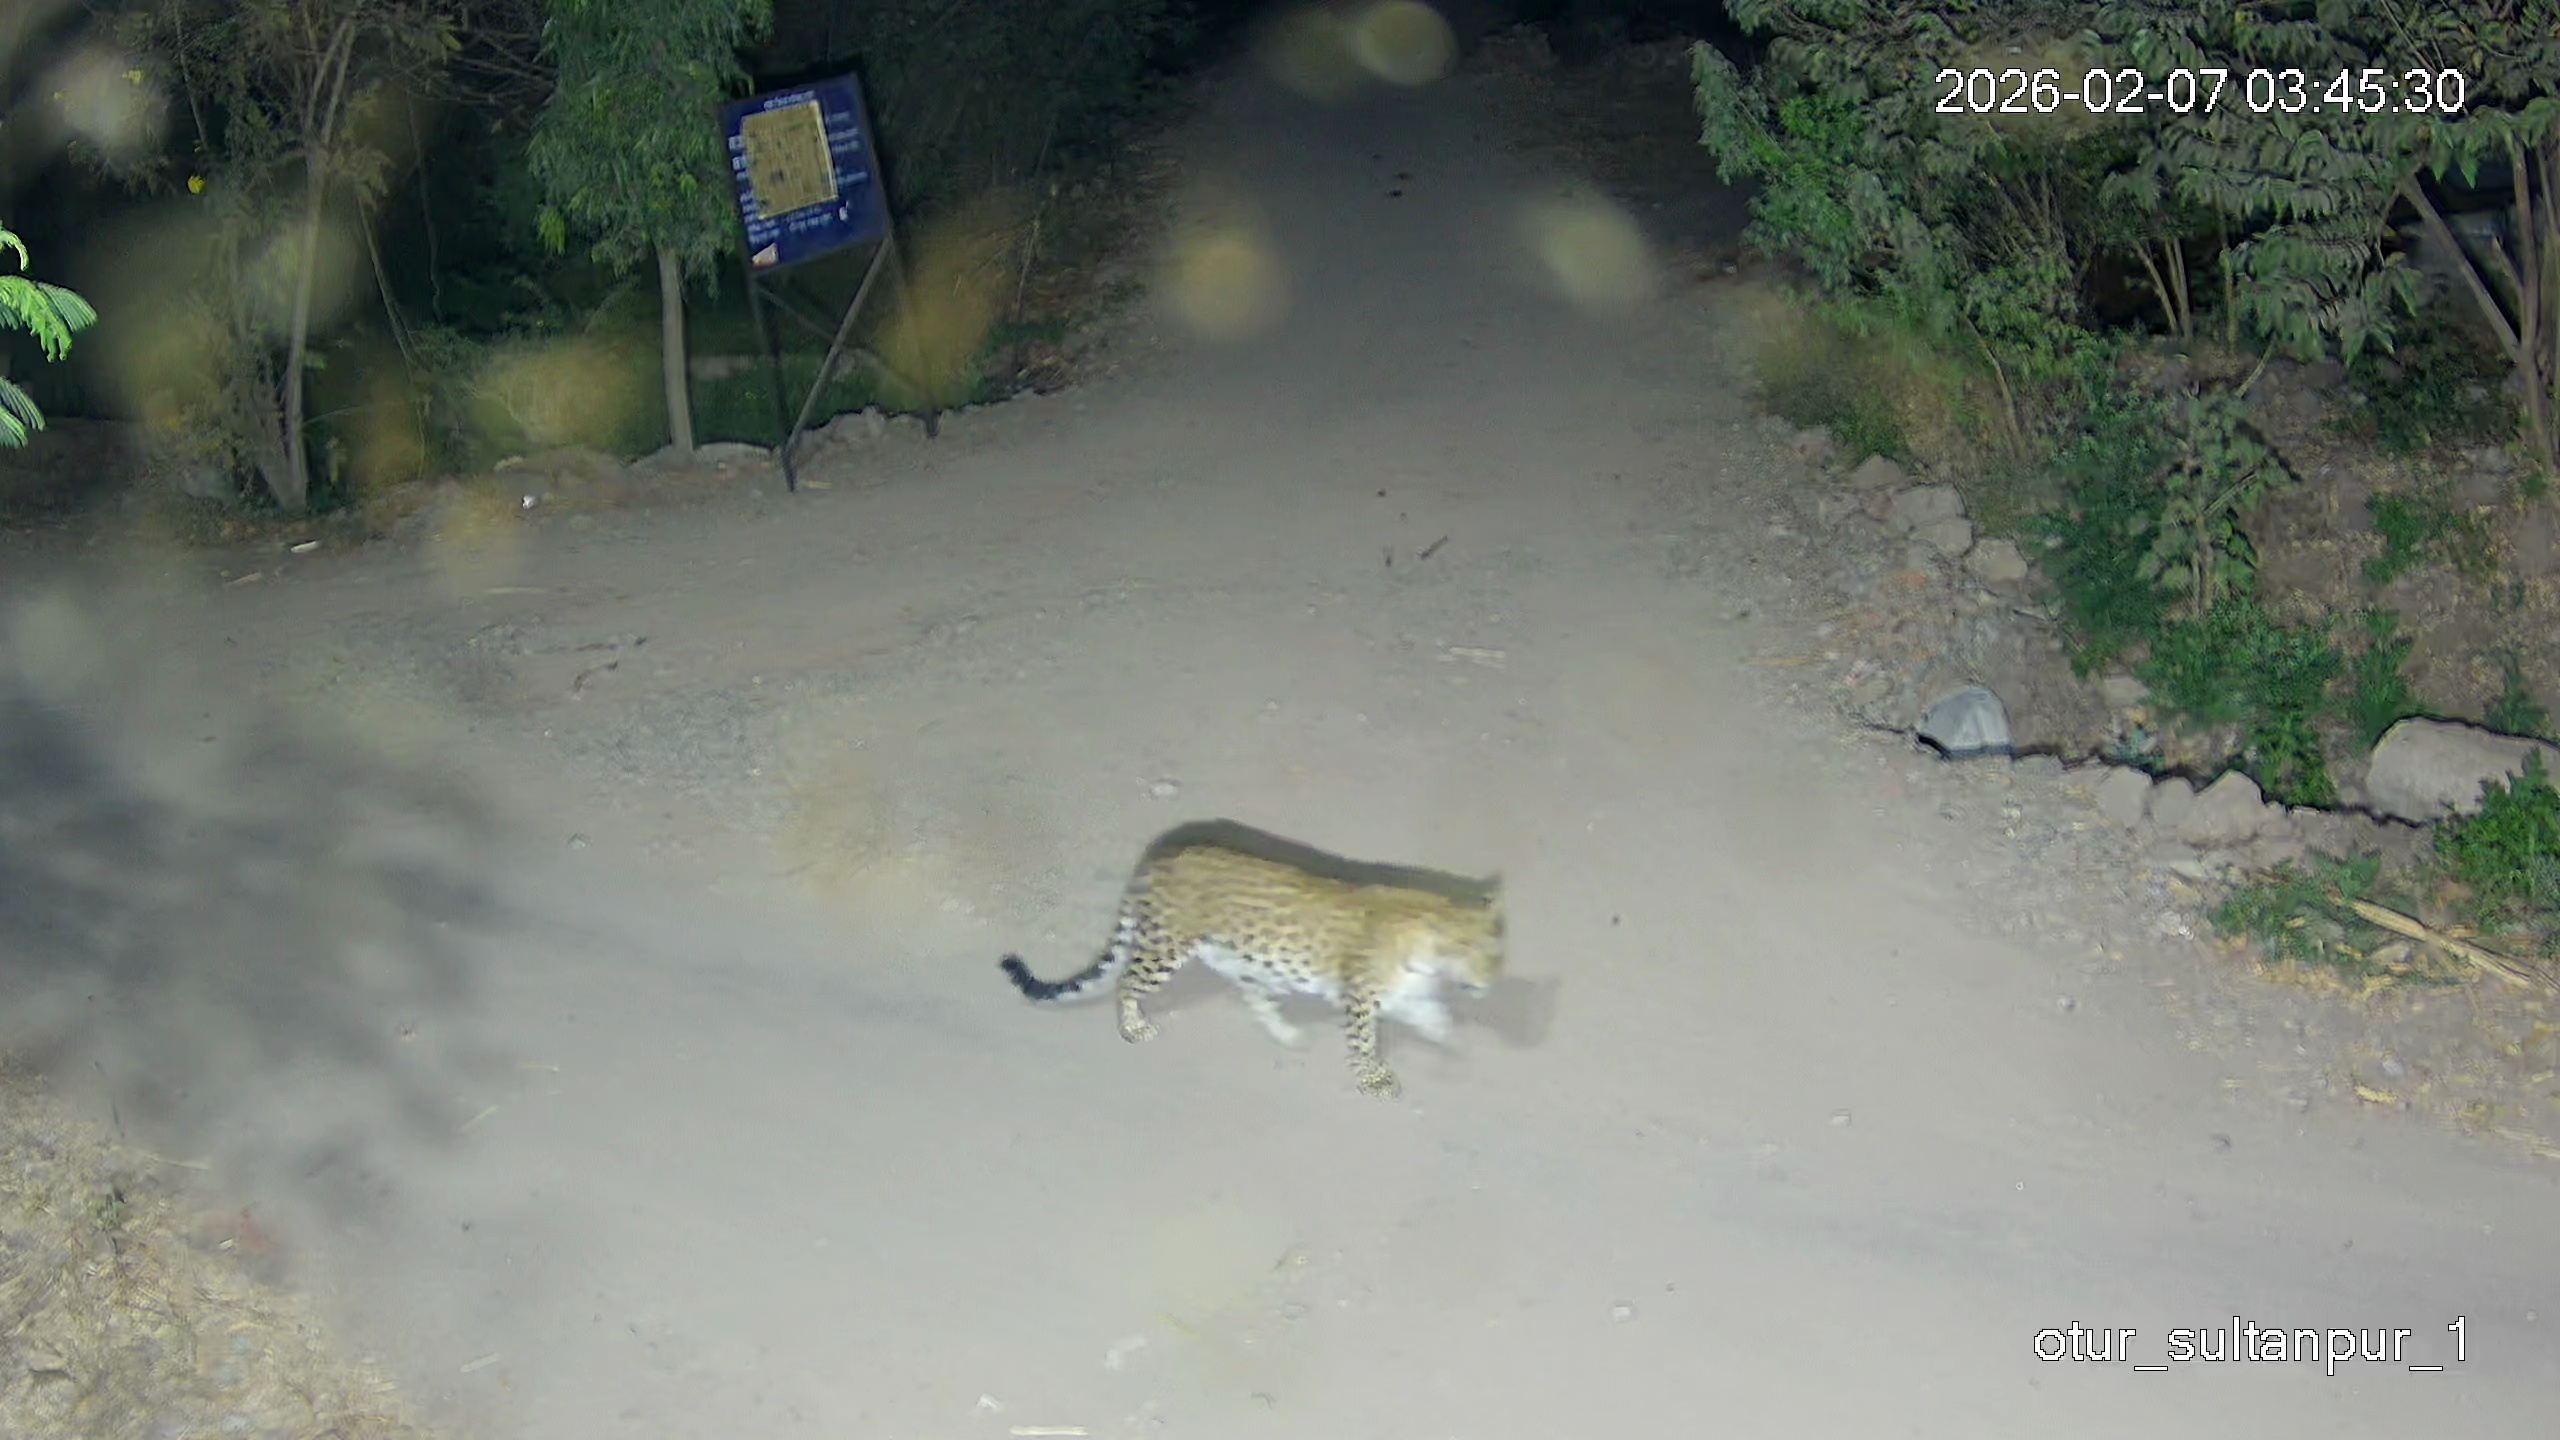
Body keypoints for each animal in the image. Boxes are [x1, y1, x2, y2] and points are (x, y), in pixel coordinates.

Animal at [999, 826, 1503, 1099]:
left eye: (1496, 953)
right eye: (1465, 949)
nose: (1488, 983)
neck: (1425, 951)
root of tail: (1162, 854)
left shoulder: (1410, 995)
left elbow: (1434, 1017)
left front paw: (1452, 1046)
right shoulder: (1360, 997)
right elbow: (1363, 1041)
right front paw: (1373, 1079)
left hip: (1241, 957)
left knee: (1253, 995)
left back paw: (1286, 1033)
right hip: (1167, 946)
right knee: (1126, 981)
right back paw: (1133, 1027)